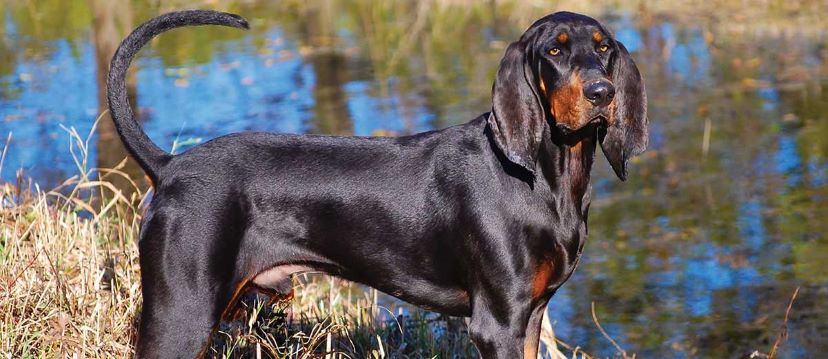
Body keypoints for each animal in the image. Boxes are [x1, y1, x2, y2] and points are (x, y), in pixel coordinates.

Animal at [105, 9, 648, 358]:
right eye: (554, 49)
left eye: (603, 48)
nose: (603, 92)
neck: (546, 178)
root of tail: (170, 166)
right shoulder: (498, 323)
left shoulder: (531, 316)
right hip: (182, 314)